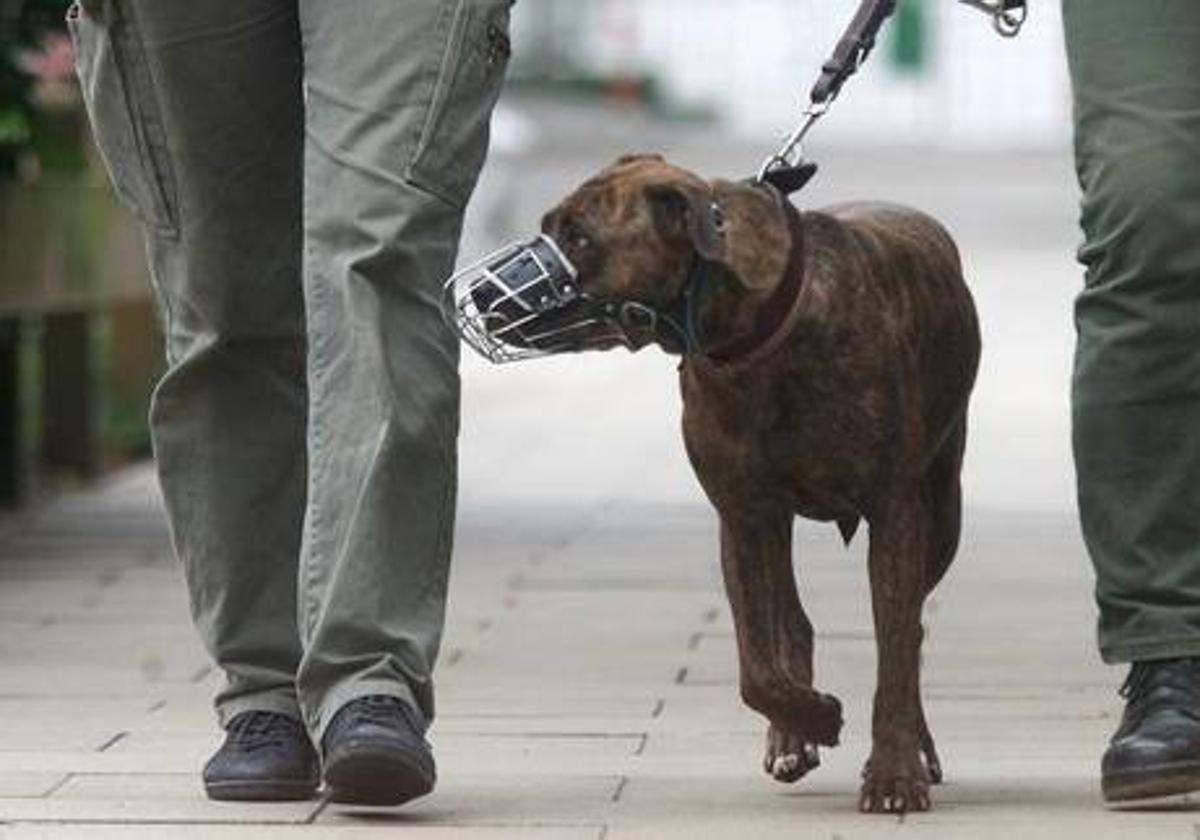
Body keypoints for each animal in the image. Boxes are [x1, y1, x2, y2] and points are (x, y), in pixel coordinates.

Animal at [540, 154, 979, 811]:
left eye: (579, 238)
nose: (482, 296)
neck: (762, 333)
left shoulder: (896, 510)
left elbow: (895, 646)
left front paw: (895, 771)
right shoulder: (742, 514)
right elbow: (756, 666)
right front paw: (813, 717)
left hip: (942, 508)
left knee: (912, 632)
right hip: (773, 523)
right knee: (789, 621)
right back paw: (793, 734)